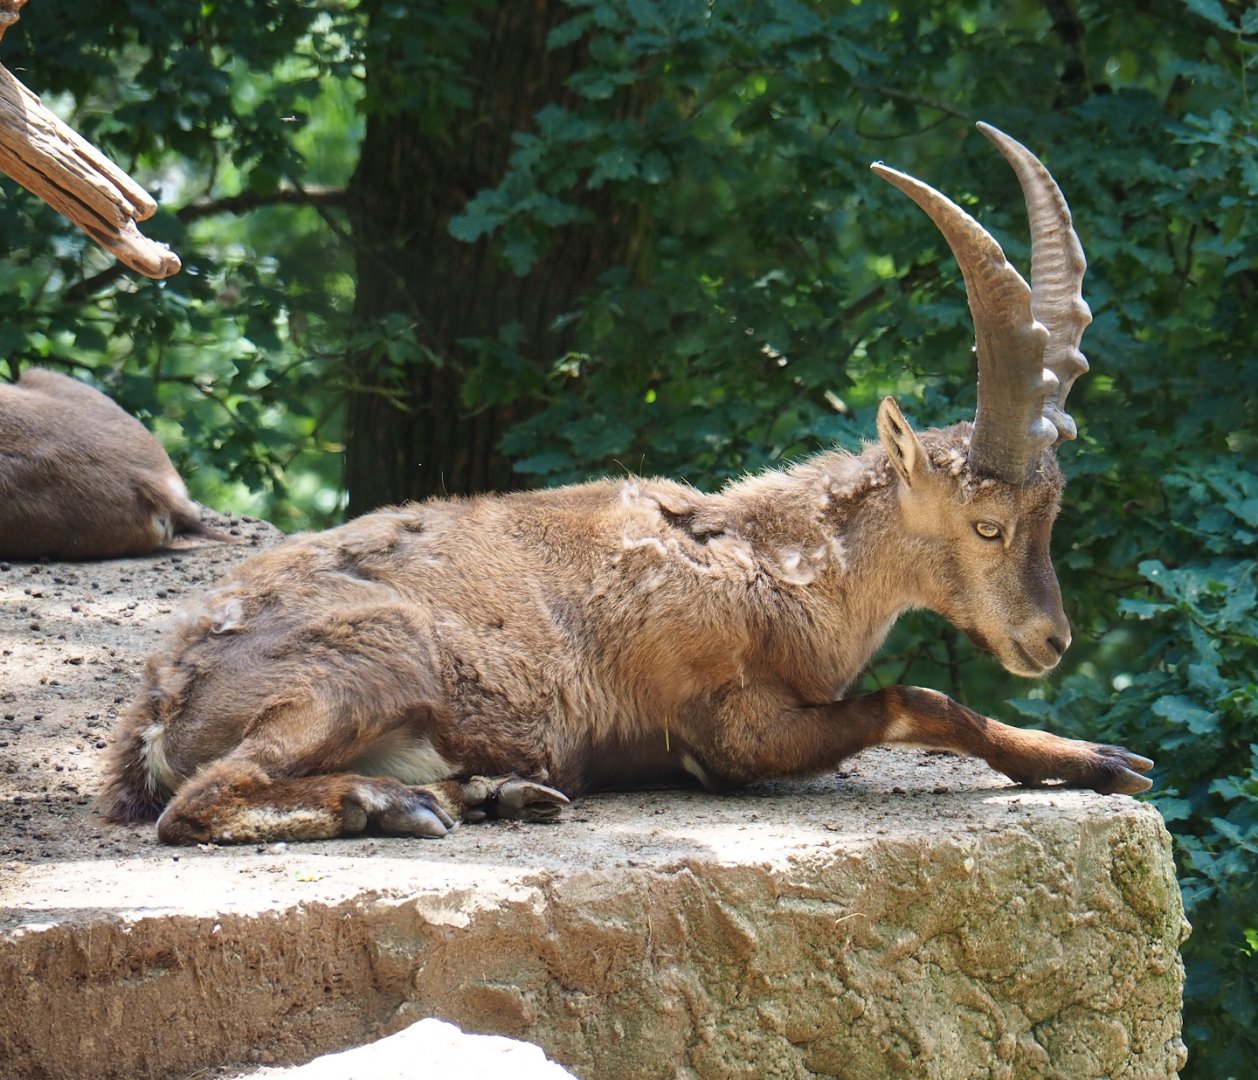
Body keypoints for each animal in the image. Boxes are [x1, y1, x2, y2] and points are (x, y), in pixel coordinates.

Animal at [100, 123, 1152, 845]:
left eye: (1051, 512)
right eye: (986, 525)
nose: (1051, 641)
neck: (779, 569)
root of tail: (158, 710)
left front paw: (1101, 759)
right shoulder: (727, 730)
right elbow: (922, 699)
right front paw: (1100, 759)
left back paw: (492, 792)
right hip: (364, 659)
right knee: (201, 802)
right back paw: (392, 803)